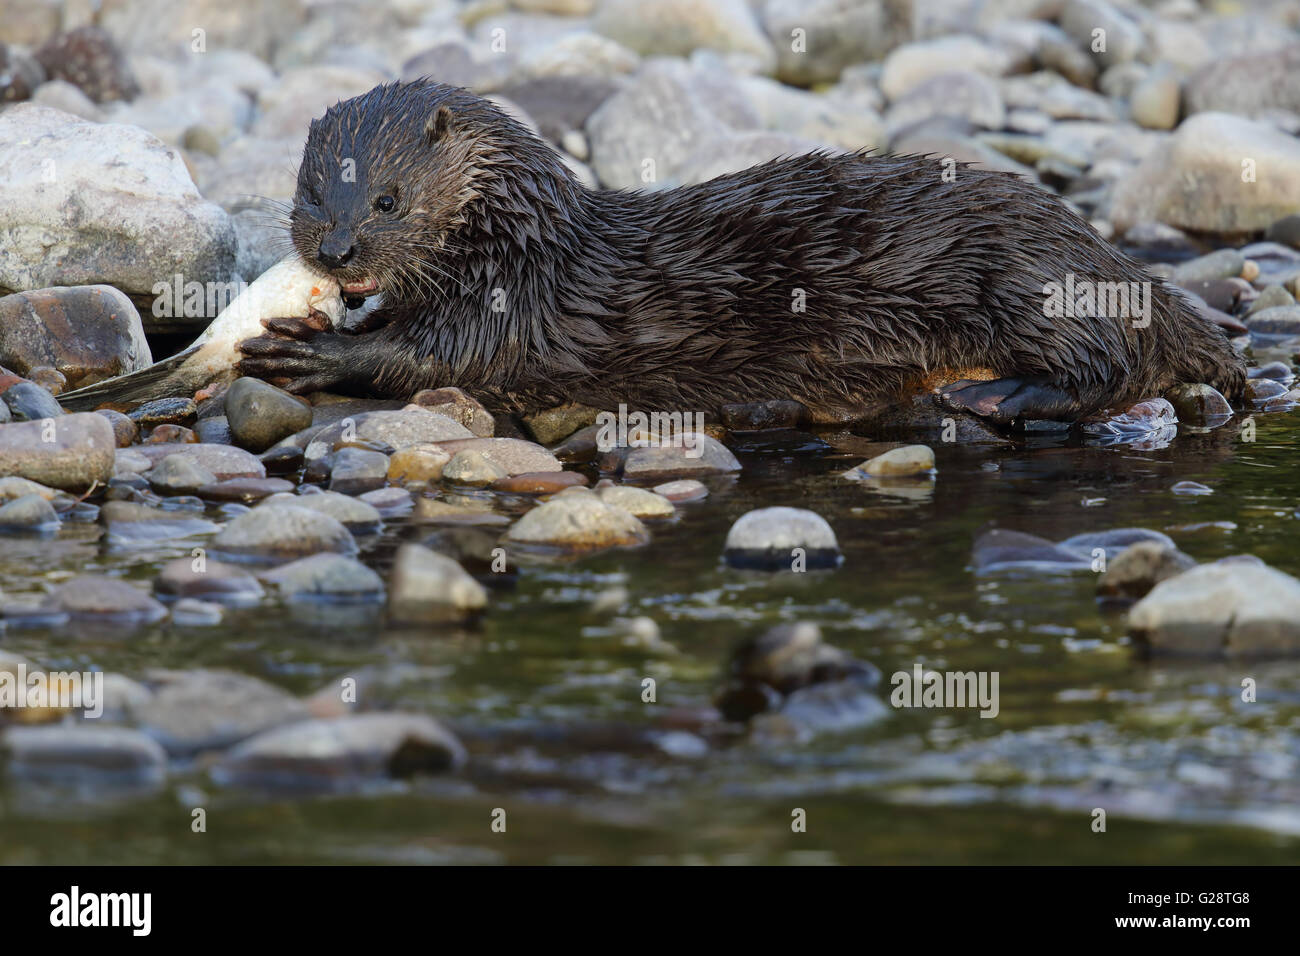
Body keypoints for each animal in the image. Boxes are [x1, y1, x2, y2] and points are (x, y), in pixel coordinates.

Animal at [236, 78, 1248, 429]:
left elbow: (440, 355)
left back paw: (1001, 393)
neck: (524, 241)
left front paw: (306, 350)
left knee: (1115, 362)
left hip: (1029, 278)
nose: (339, 249)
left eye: (388, 199)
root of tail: (1114, 261)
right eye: (310, 193)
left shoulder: (514, 301)